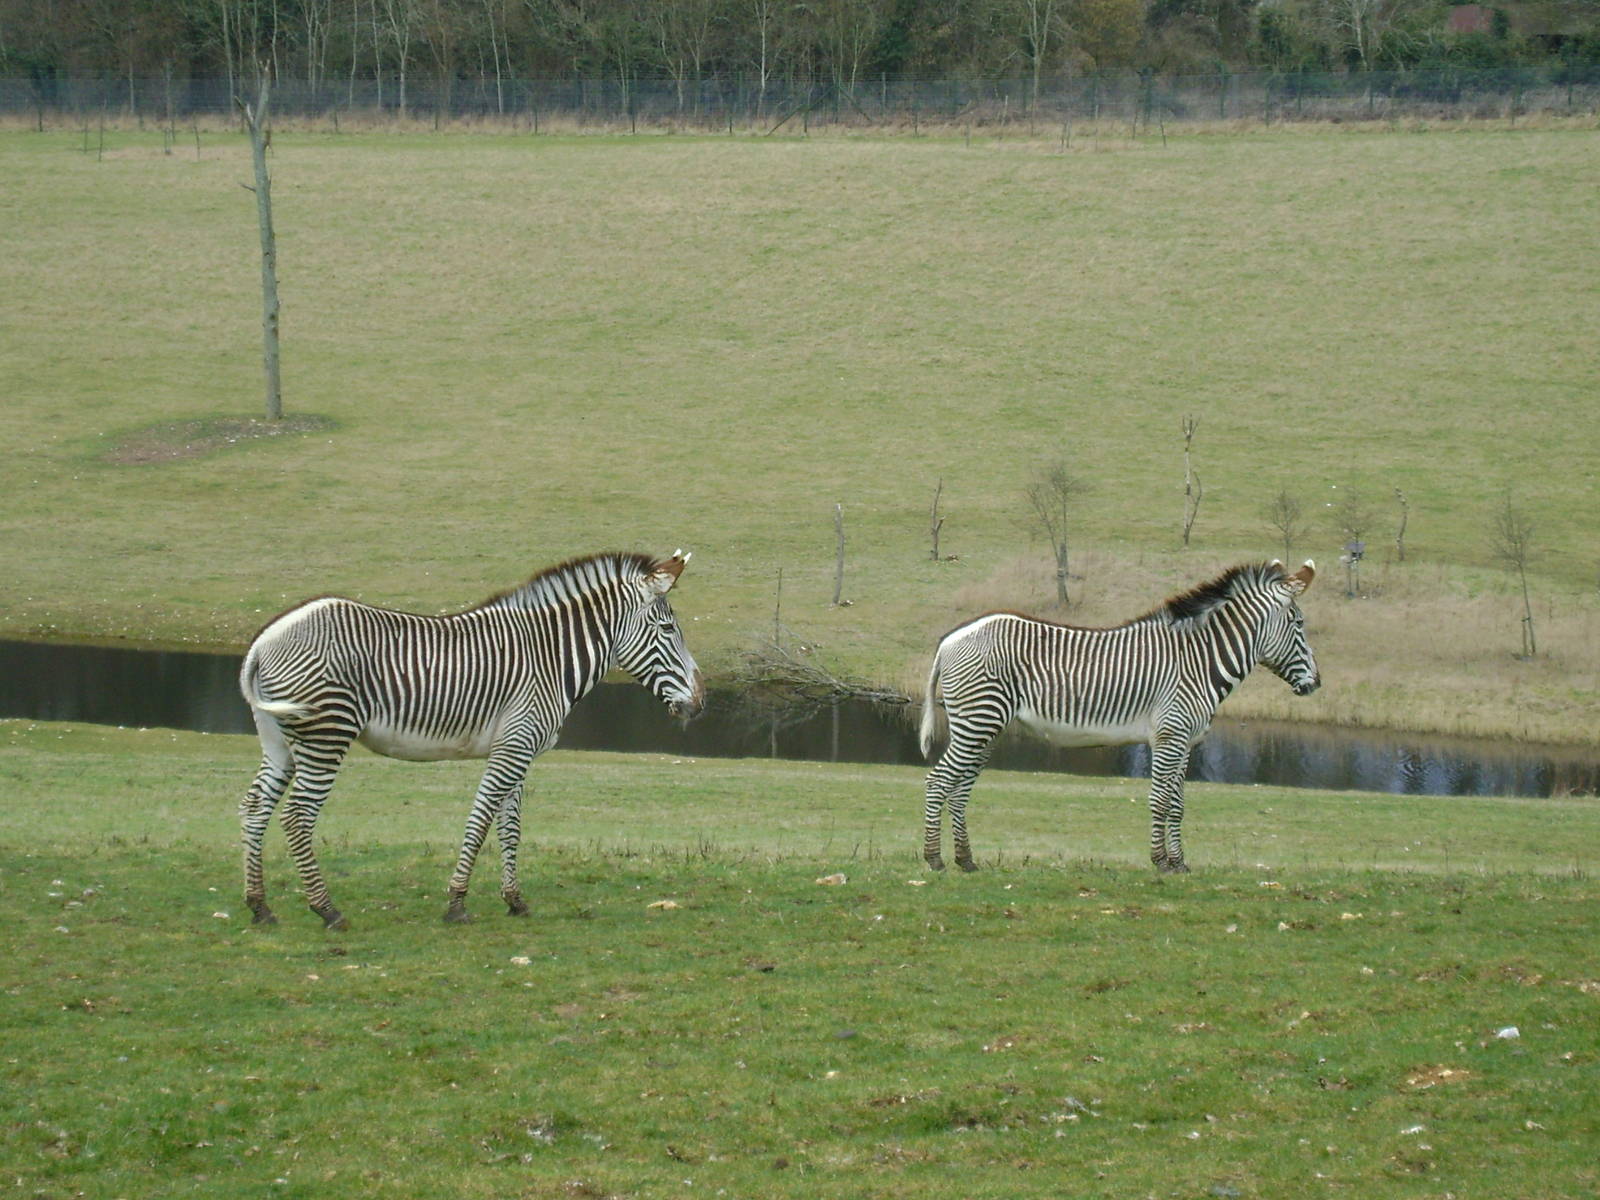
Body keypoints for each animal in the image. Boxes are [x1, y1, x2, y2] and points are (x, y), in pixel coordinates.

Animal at [237, 550, 704, 929]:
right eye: (667, 628)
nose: (700, 703)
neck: (551, 656)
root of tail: (265, 639)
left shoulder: (519, 748)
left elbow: (511, 827)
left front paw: (515, 900)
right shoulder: (514, 747)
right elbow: (480, 820)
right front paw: (457, 903)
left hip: (279, 742)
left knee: (255, 807)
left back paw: (260, 907)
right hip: (327, 735)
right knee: (297, 816)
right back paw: (327, 910)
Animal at [918, 559, 1320, 874]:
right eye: (1299, 623)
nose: (1316, 683)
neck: (1198, 661)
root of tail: (950, 639)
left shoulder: (1185, 740)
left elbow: (1178, 804)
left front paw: (1180, 863)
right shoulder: (1170, 735)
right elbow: (1160, 799)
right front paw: (1161, 861)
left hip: (983, 727)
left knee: (959, 789)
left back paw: (966, 860)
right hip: (977, 722)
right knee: (938, 781)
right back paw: (934, 859)